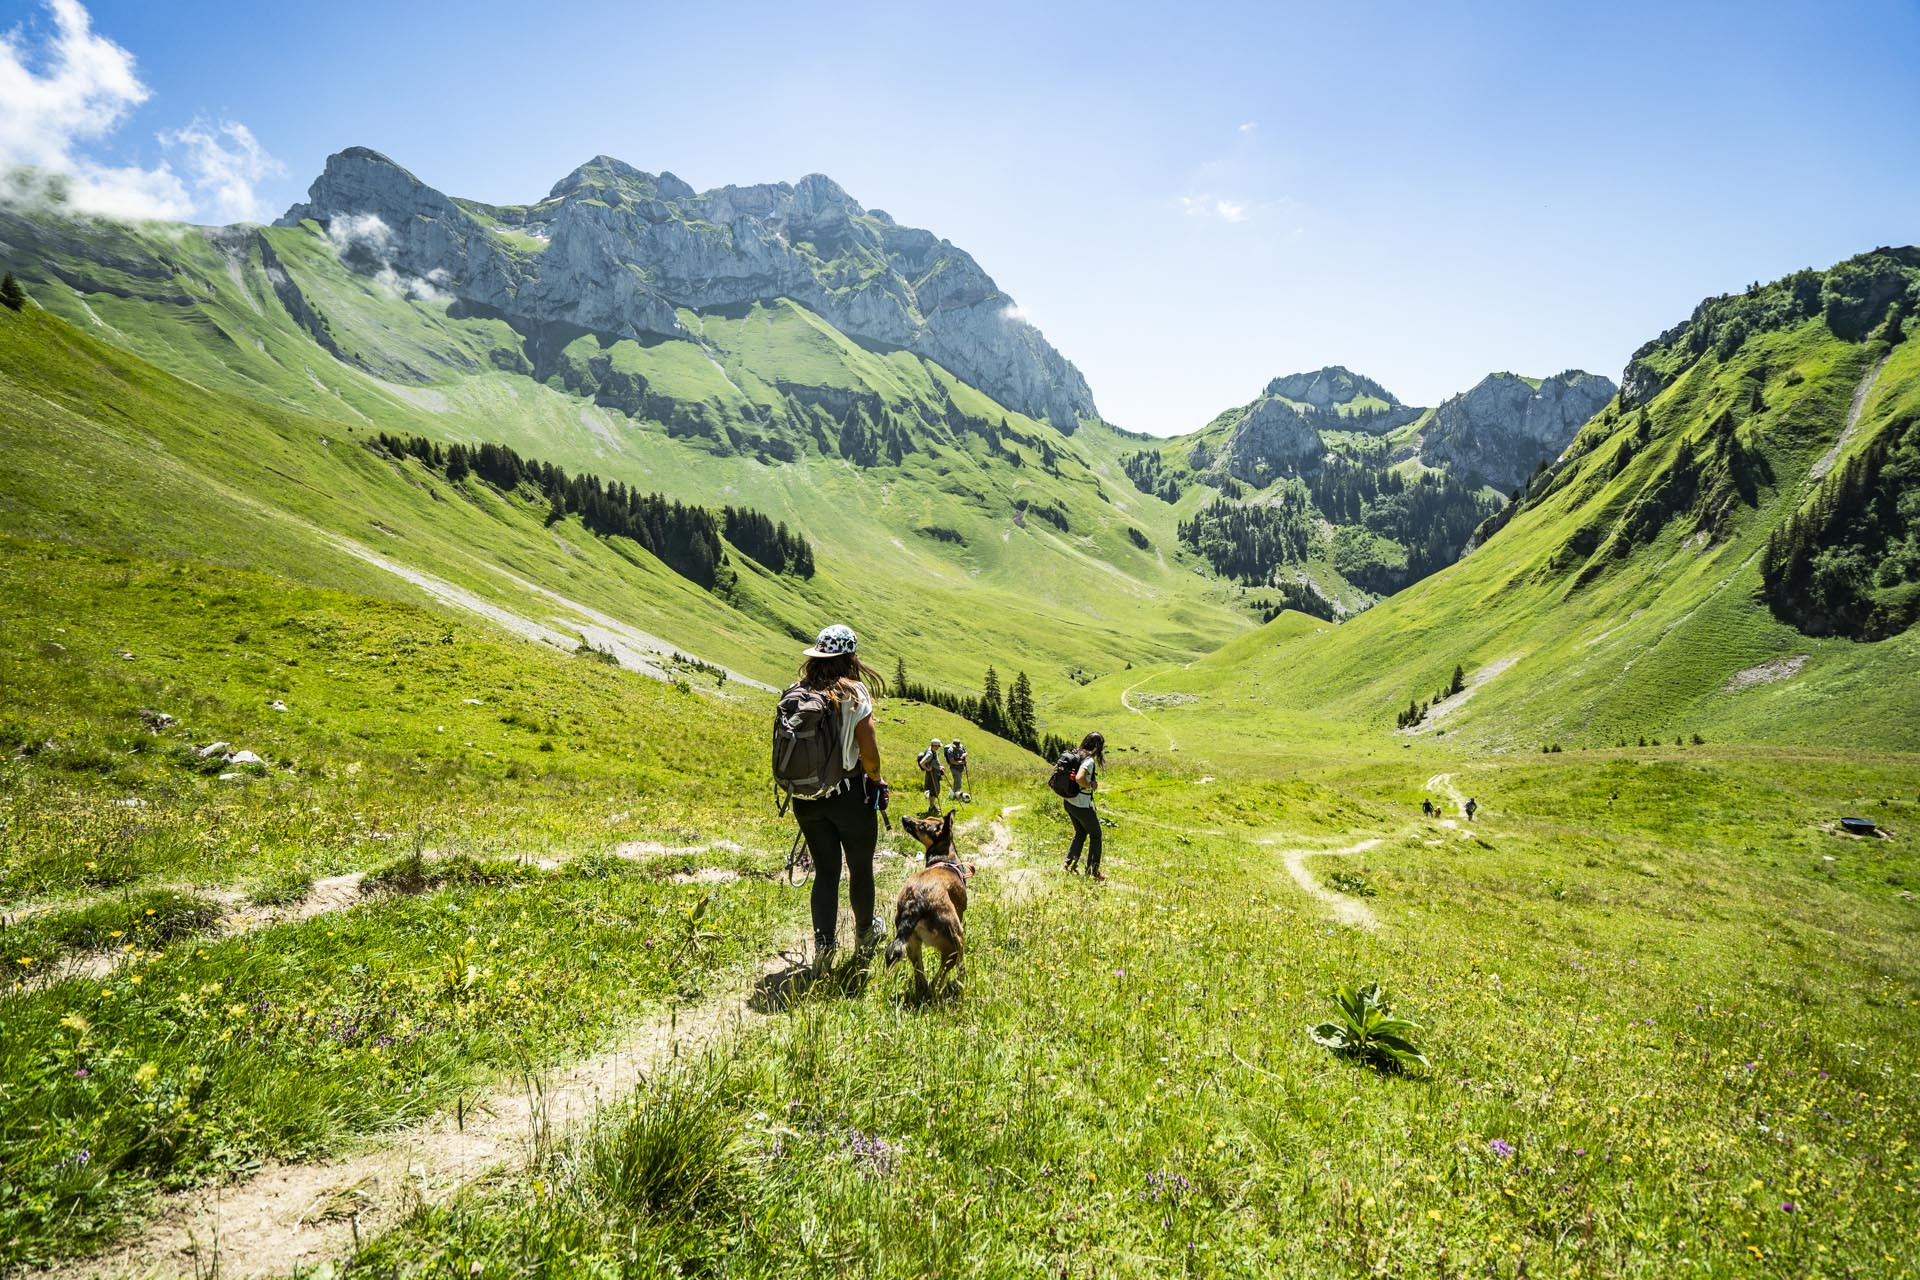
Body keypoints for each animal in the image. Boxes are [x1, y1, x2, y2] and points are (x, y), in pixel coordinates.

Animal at [887, 809, 975, 997]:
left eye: (923, 824)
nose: (904, 818)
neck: (945, 858)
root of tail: (915, 904)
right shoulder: (960, 915)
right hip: (956, 942)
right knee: (942, 974)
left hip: (912, 946)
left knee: (921, 977)